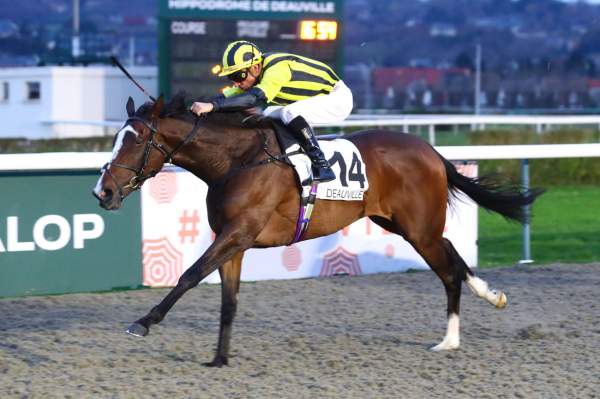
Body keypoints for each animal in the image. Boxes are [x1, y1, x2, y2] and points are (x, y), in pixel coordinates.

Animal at [92, 92, 544, 368]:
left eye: (135, 141)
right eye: (117, 138)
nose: (103, 191)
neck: (236, 161)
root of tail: (431, 151)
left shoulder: (238, 233)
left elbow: (188, 275)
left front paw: (143, 322)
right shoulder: (234, 241)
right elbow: (228, 300)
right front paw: (220, 358)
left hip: (419, 231)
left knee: (448, 272)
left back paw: (449, 339)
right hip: (404, 225)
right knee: (453, 255)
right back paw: (491, 296)